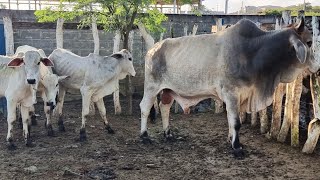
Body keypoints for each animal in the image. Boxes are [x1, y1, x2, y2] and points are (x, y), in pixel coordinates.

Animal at [141, 17, 320, 158]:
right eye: (309, 42)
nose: (317, 66)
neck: (253, 52)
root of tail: (152, 49)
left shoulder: (240, 96)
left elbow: (230, 119)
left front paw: (231, 140)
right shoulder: (231, 93)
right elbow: (236, 122)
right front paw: (237, 148)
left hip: (168, 91)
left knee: (164, 107)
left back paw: (168, 134)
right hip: (152, 87)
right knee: (145, 107)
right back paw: (144, 137)